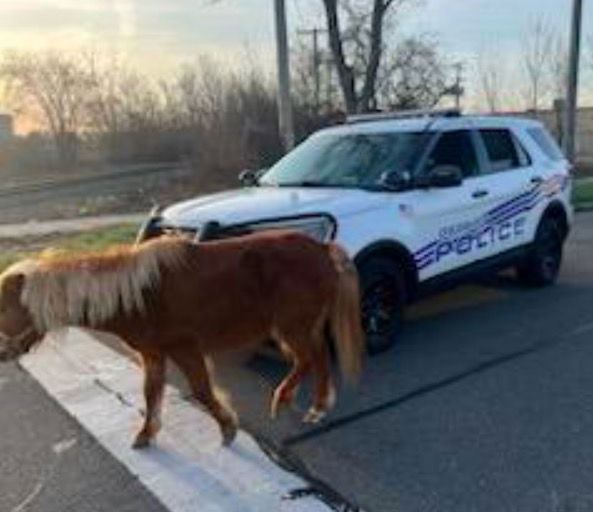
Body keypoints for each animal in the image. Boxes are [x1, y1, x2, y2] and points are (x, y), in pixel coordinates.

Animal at [0, 232, 364, 448]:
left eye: (5, 307)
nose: (2, 354)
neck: (137, 295)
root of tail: (322, 248)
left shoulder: (185, 349)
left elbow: (201, 391)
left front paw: (227, 427)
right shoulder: (153, 355)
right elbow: (151, 393)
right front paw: (146, 434)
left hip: (293, 328)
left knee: (308, 359)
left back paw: (290, 400)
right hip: (302, 328)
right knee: (317, 358)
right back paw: (315, 407)